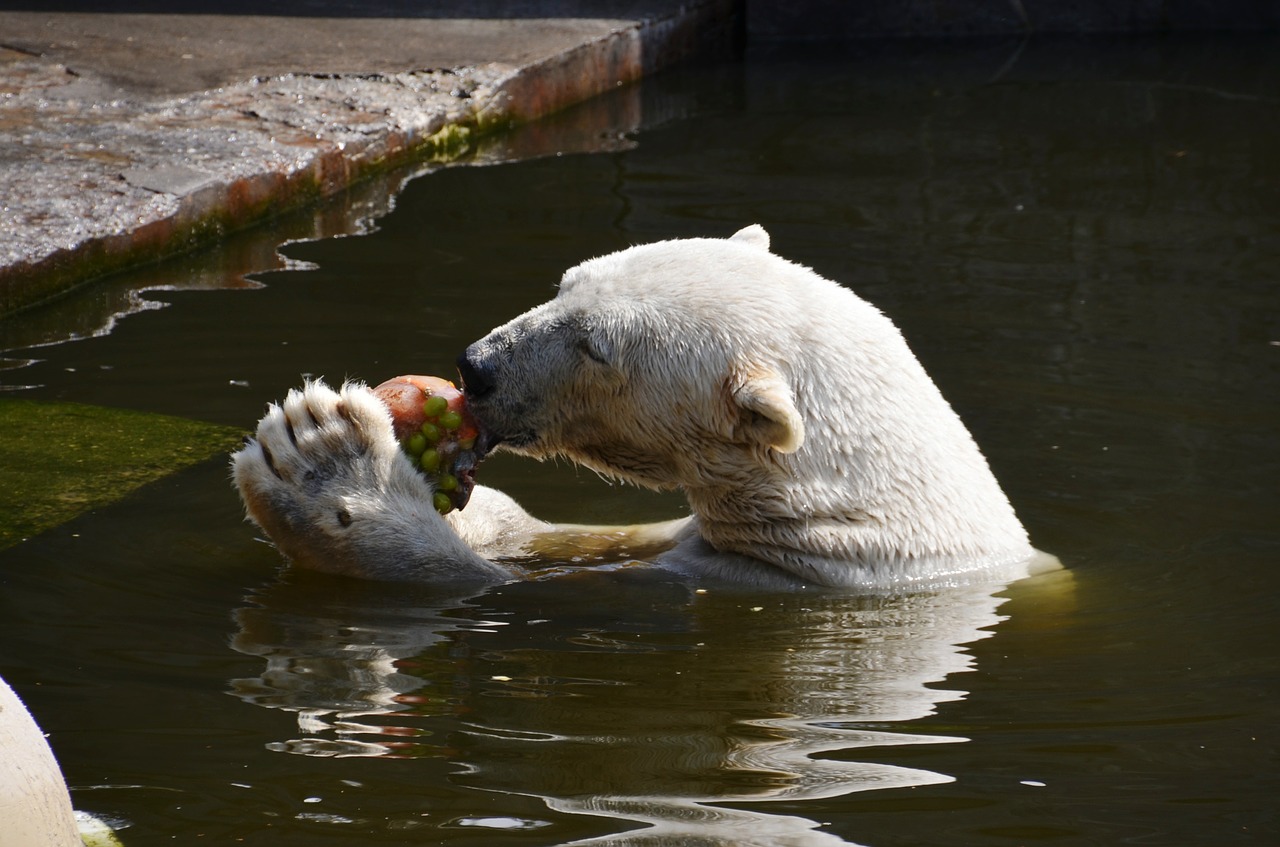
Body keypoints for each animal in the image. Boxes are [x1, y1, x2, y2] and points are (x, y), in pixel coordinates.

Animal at [232, 225, 1049, 591]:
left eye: (596, 346)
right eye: (566, 282)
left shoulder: (757, 580)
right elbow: (564, 537)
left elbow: (487, 585)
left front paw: (322, 460)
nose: (477, 367)